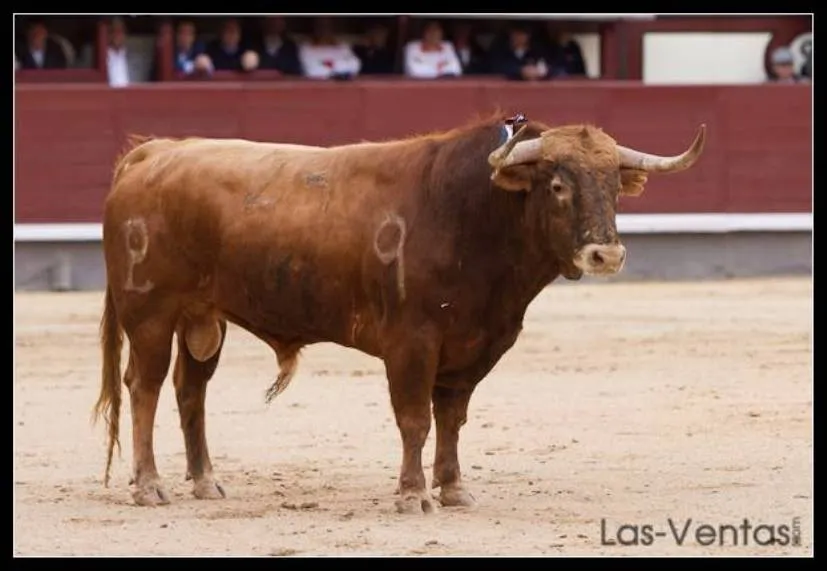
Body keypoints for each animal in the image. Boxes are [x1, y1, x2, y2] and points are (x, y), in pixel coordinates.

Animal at [95, 113, 704, 512]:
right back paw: (149, 486)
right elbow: (414, 417)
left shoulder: (474, 346)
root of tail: (153, 152)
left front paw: (454, 489)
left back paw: (205, 481)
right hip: (150, 315)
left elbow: (451, 418)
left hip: (205, 318)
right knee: (145, 388)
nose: (606, 255)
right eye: (557, 184)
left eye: (615, 187)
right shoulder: (412, 342)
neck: (471, 212)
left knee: (190, 390)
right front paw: (414, 495)